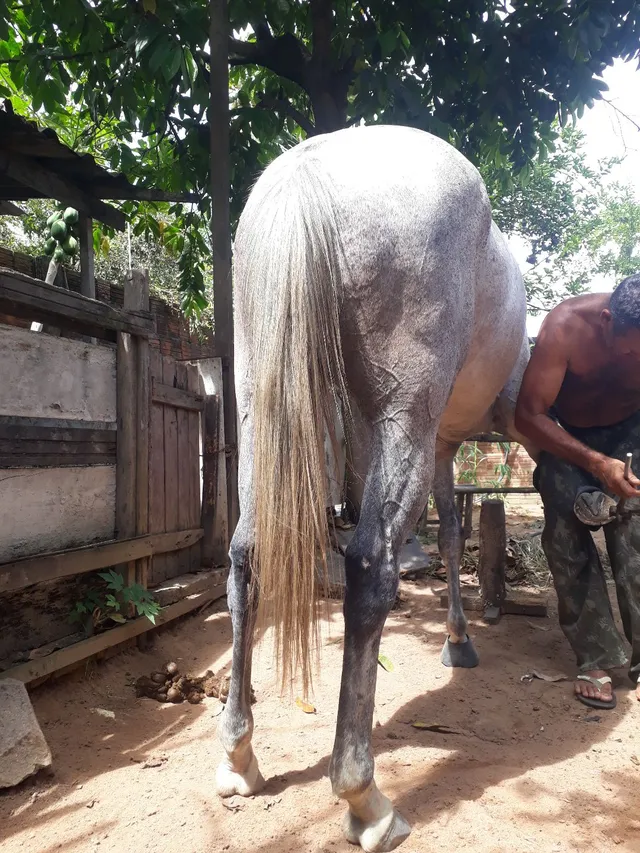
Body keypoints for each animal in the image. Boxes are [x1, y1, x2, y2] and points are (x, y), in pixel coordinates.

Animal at [215, 126, 528, 852]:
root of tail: (309, 171)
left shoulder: (441, 443)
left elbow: (451, 530)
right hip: (402, 414)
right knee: (369, 566)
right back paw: (367, 798)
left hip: (257, 402)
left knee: (246, 556)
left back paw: (239, 755)